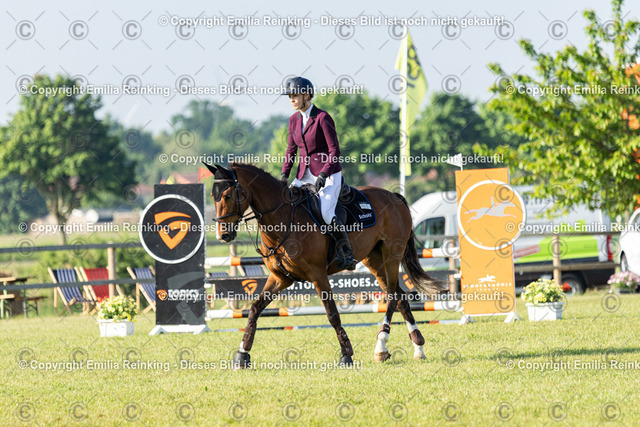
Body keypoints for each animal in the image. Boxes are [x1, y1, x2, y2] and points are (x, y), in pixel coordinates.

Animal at [204, 162, 443, 368]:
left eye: (227, 195)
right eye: (213, 196)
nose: (223, 235)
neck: (283, 218)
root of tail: (394, 196)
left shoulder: (318, 275)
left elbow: (332, 314)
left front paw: (346, 354)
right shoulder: (280, 278)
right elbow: (254, 309)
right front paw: (242, 353)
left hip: (391, 256)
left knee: (393, 296)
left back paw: (381, 346)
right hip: (375, 261)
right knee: (400, 297)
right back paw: (417, 348)